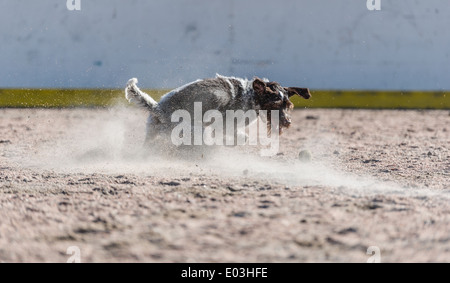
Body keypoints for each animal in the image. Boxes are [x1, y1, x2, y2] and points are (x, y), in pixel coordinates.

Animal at [125, 74, 312, 146]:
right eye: (274, 104)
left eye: (288, 105)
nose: (287, 122)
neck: (251, 97)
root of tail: (157, 108)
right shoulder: (224, 124)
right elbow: (236, 135)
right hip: (191, 131)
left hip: (152, 134)